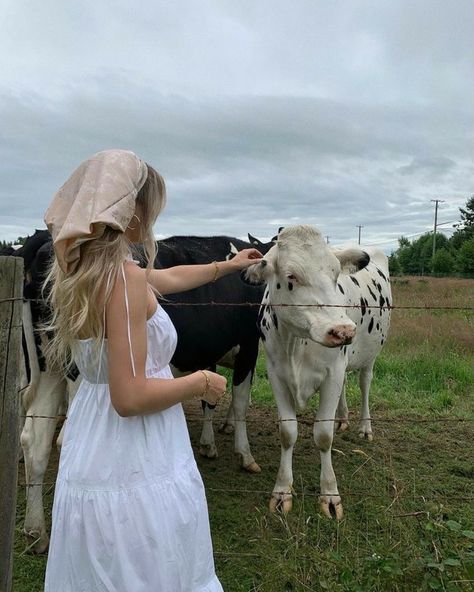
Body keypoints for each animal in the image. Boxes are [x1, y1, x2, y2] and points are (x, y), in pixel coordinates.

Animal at [246, 227, 390, 520]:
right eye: (290, 276)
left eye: (335, 275)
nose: (343, 330)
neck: (296, 342)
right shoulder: (276, 374)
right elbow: (288, 432)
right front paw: (282, 491)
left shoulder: (332, 372)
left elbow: (323, 435)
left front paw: (330, 495)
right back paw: (343, 419)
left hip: (370, 355)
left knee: (364, 384)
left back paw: (364, 427)